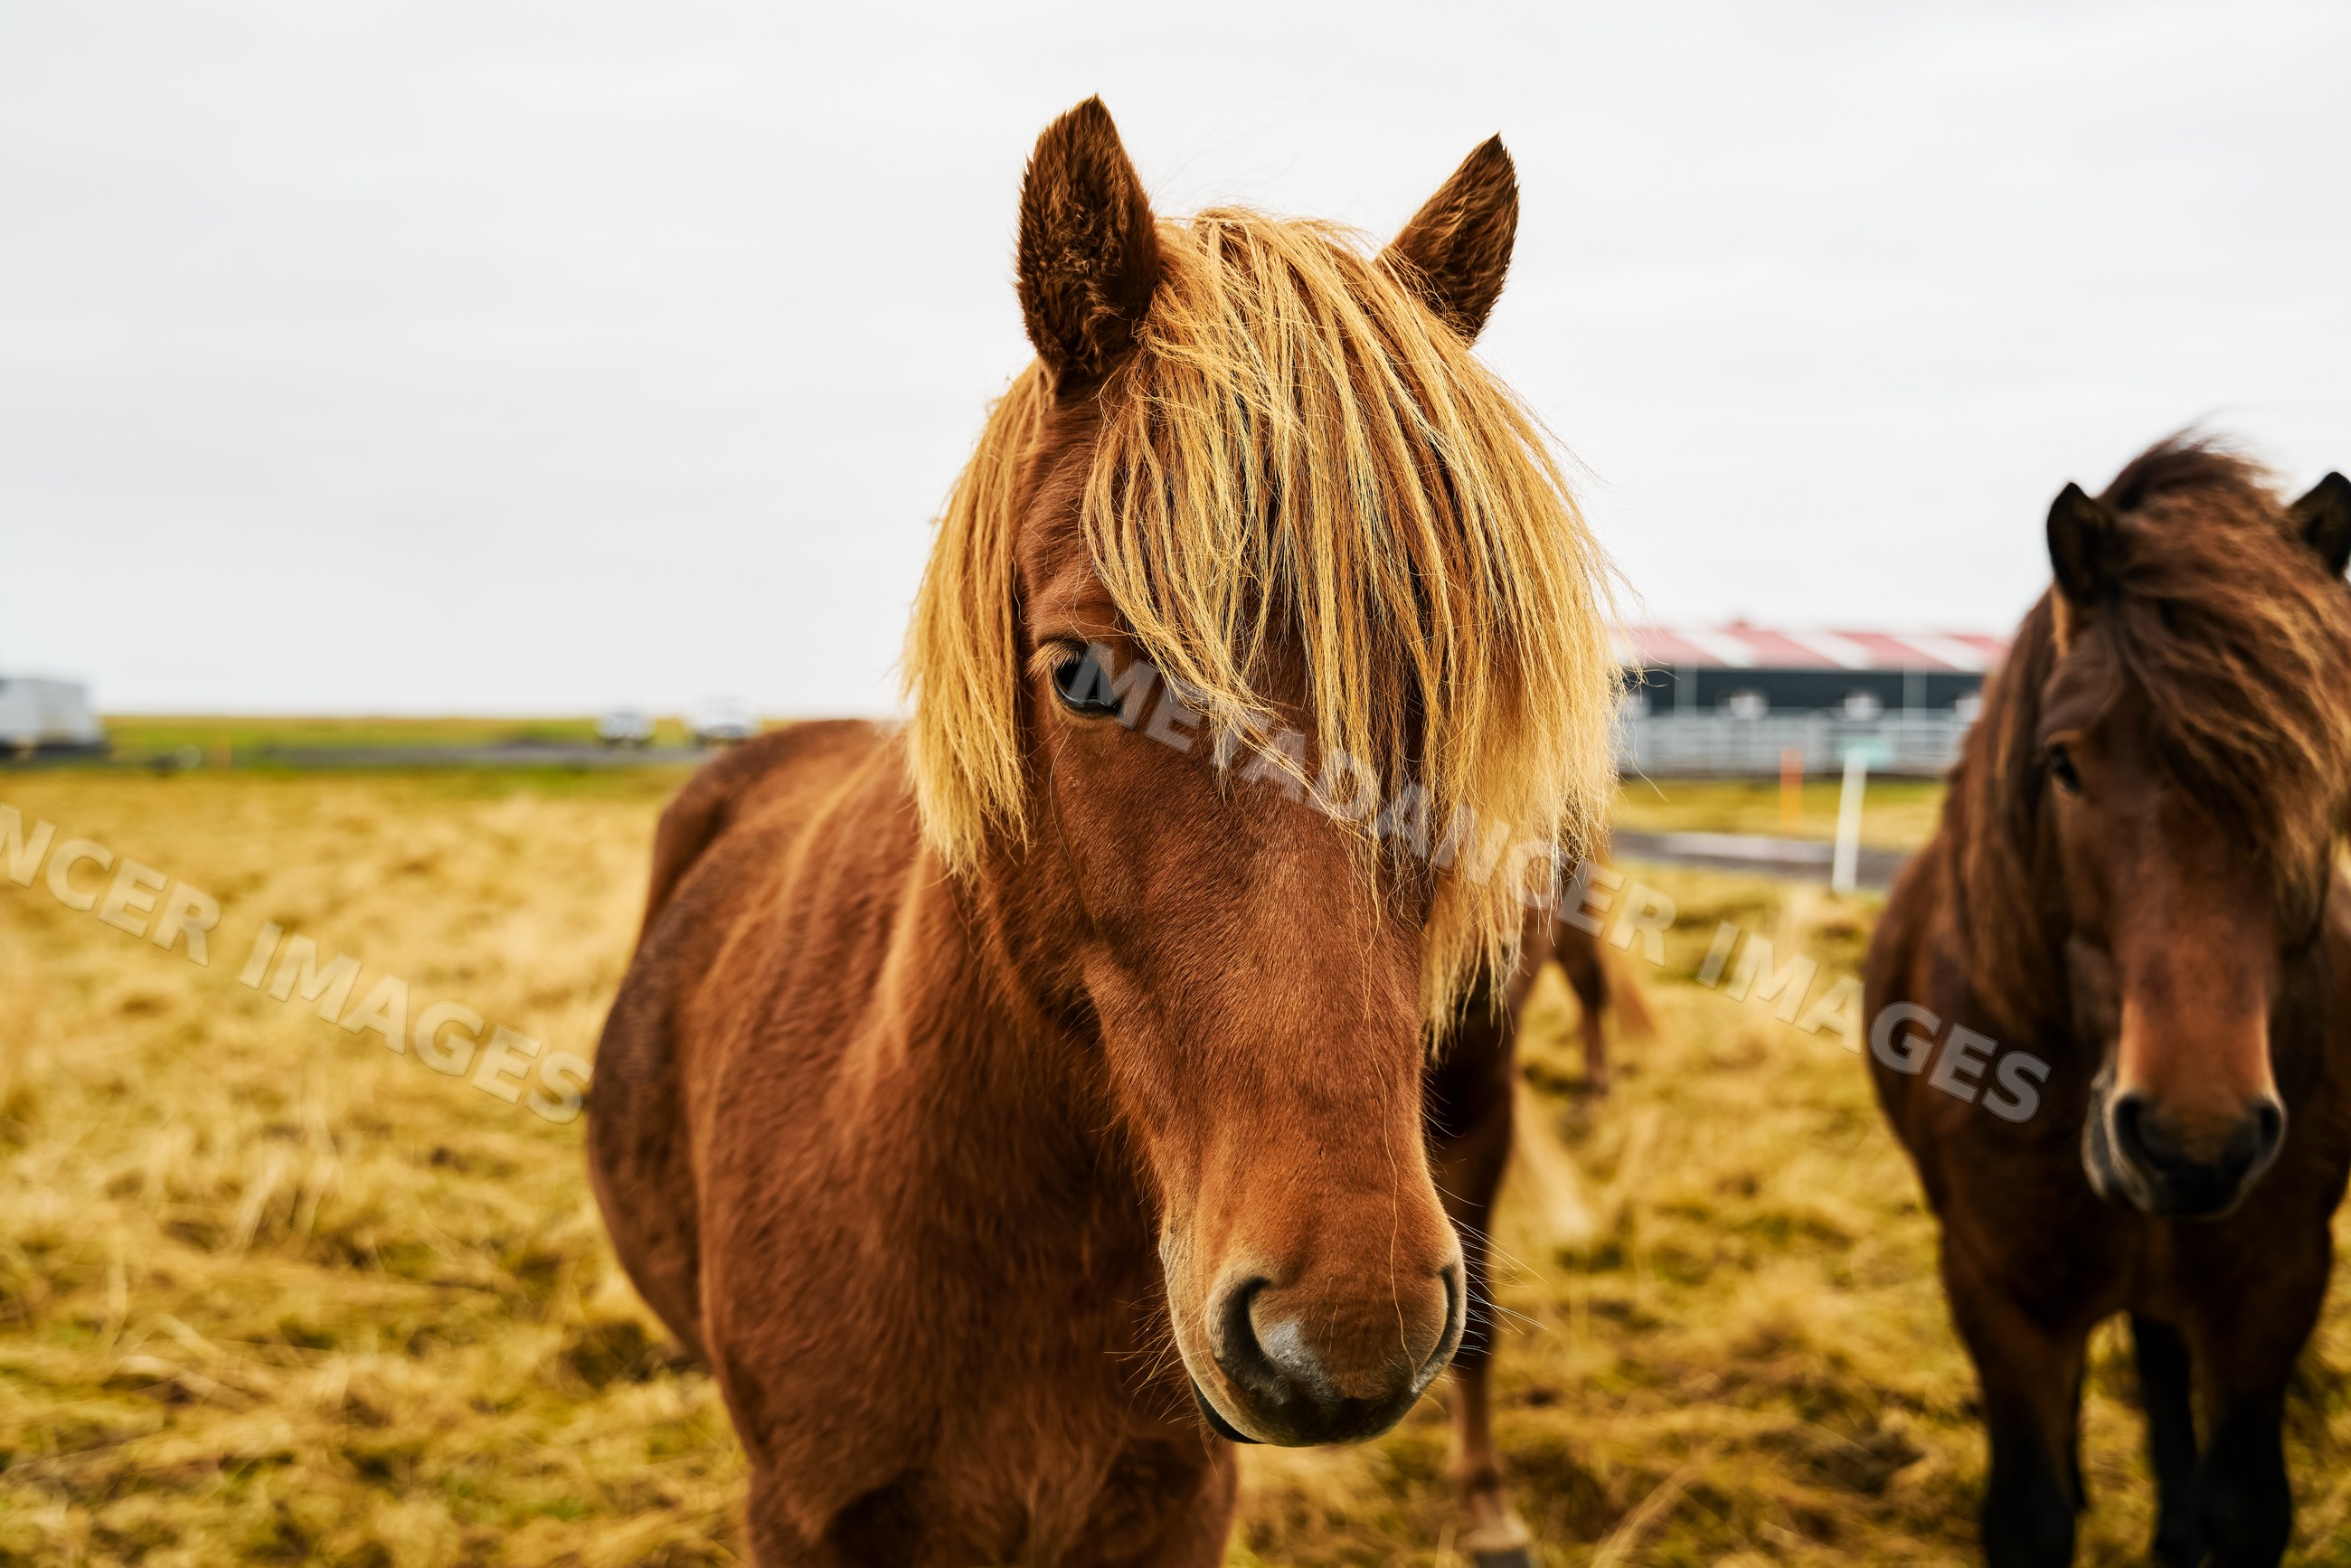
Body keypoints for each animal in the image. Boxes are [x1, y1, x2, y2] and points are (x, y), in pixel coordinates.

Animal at [1865, 437, 2351, 1567]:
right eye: (2061, 764)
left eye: (2322, 768)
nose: (2191, 1141)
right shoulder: (2002, 1299)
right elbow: (2033, 1513)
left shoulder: (2272, 1289)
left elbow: (2240, 1505)